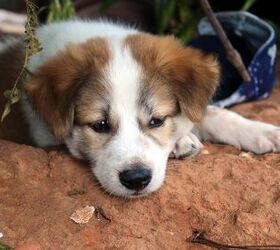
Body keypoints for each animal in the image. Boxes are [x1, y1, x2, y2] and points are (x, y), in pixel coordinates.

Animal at [0, 20, 280, 197]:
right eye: (100, 125)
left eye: (156, 120)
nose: (136, 180)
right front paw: (183, 141)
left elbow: (213, 113)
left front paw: (262, 132)